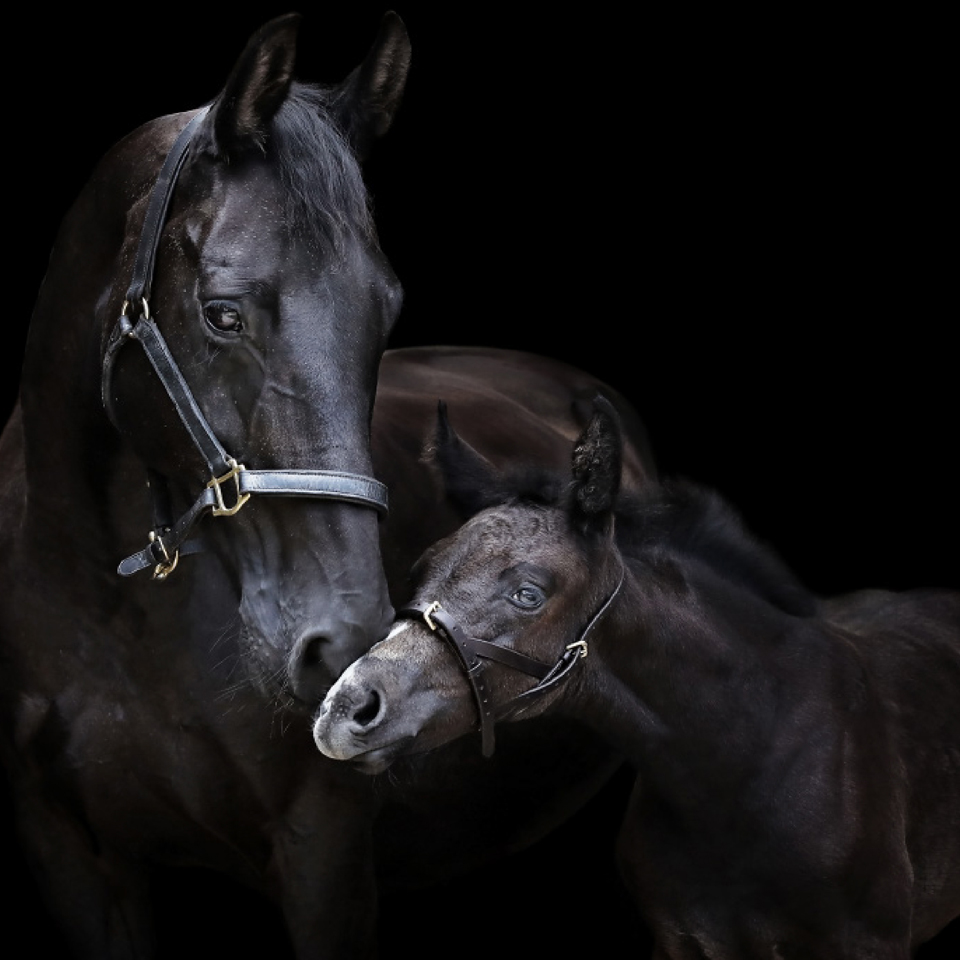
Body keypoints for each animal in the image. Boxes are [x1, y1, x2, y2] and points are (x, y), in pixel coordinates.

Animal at [0, 13, 664, 955]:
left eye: (384, 313)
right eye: (222, 313)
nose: (343, 642)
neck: (108, 611)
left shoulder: (324, 857)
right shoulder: (71, 854)